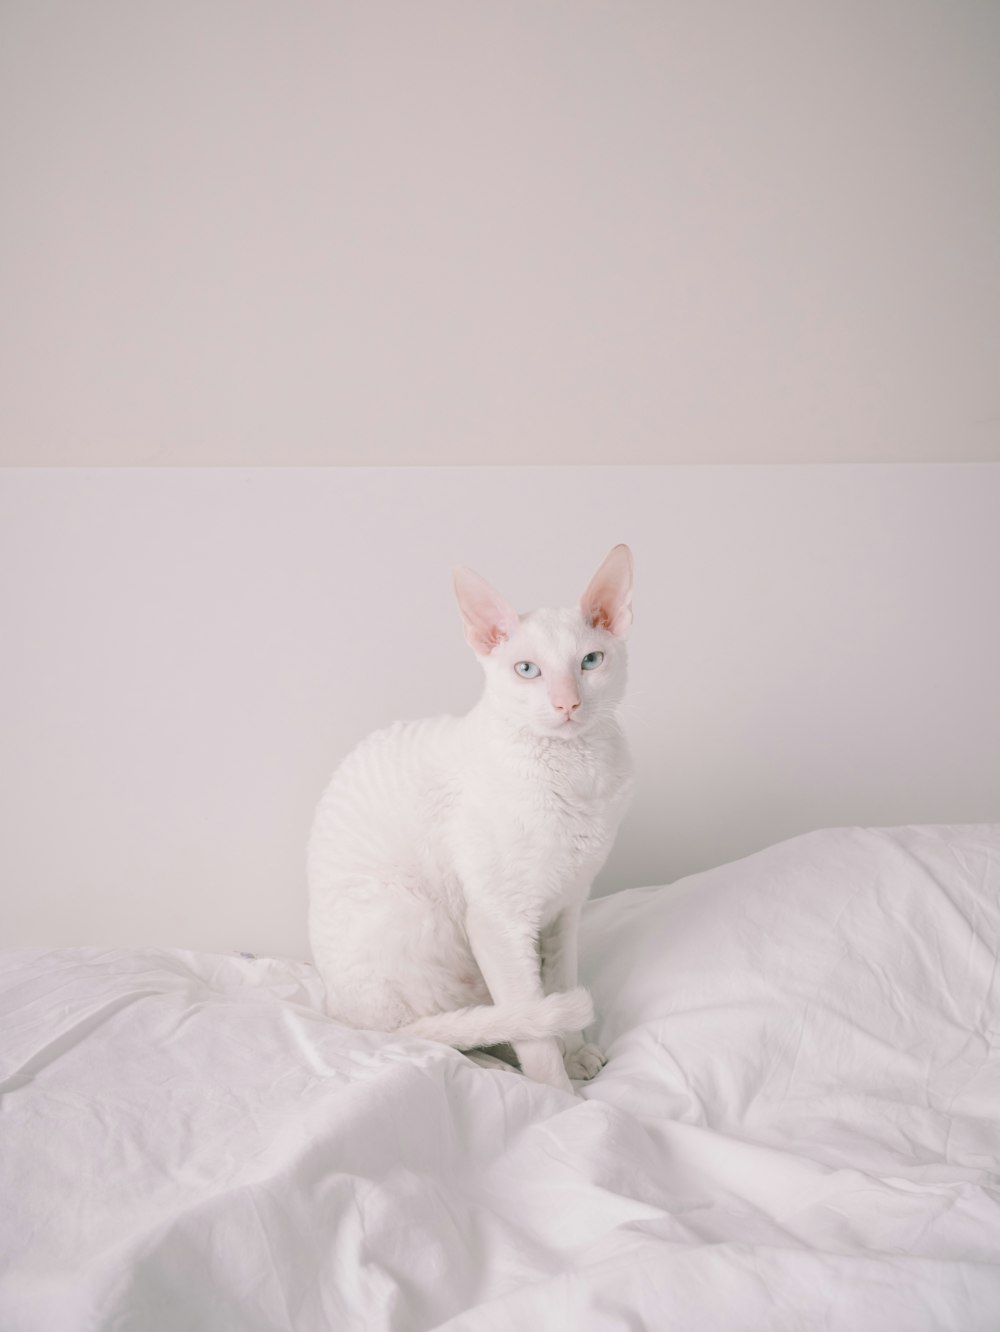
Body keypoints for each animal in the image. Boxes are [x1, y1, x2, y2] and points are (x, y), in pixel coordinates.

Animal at [307, 543, 633, 1092]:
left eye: (591, 661)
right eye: (527, 670)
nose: (567, 702)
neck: (577, 772)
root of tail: (333, 1009)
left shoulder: (566, 909)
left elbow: (558, 983)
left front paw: (573, 1054)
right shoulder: (498, 920)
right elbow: (535, 1035)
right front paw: (560, 1096)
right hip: (406, 912)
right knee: (426, 1036)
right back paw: (487, 1064)